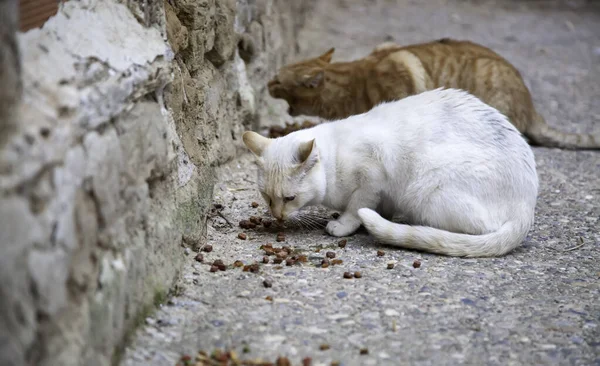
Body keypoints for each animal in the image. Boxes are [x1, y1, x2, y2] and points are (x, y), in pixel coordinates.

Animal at [244, 88, 540, 258]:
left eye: (290, 198)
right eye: (267, 197)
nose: (277, 216)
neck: (334, 159)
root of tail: (526, 205)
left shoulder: (373, 175)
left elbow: (357, 206)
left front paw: (344, 224)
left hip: (427, 187)